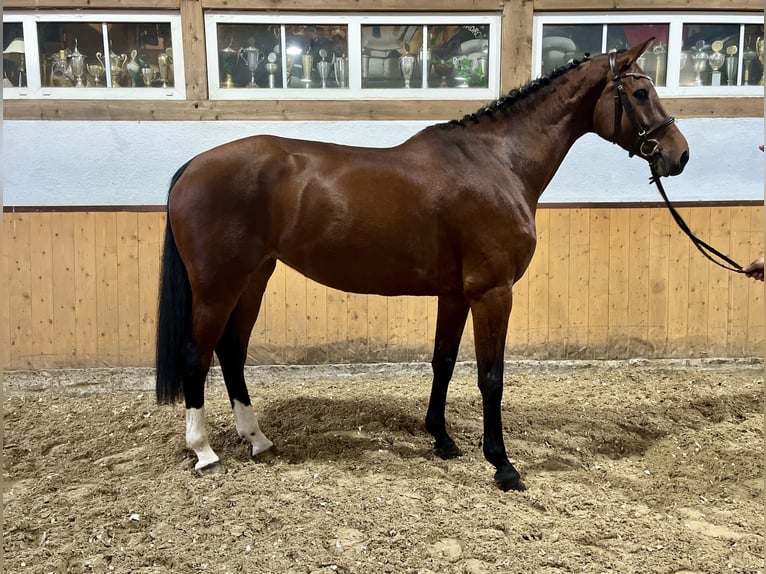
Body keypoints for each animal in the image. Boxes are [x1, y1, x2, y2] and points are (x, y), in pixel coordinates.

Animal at [156, 39, 688, 496]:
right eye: (641, 92)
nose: (678, 155)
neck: (499, 163)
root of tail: (192, 167)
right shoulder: (493, 292)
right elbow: (490, 376)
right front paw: (502, 464)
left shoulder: (455, 294)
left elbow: (444, 362)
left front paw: (443, 440)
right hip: (218, 286)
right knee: (195, 355)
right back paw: (204, 451)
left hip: (253, 279)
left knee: (232, 352)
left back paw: (258, 439)